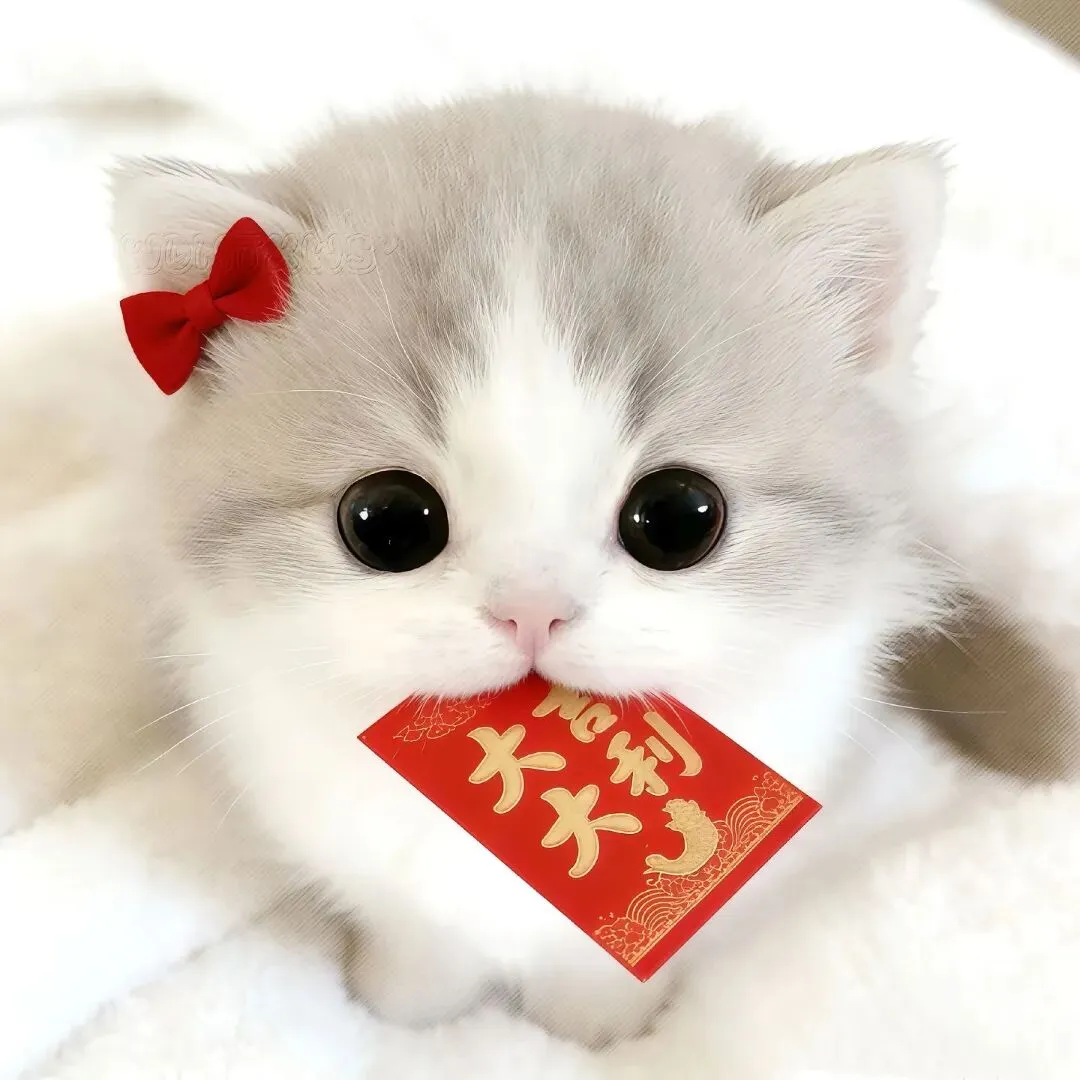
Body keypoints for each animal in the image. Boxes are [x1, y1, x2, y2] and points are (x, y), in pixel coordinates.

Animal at [111, 92, 963, 1045]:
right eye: (387, 523)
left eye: (680, 518)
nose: (531, 609)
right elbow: (421, 931)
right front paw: (406, 1010)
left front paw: (597, 1029)